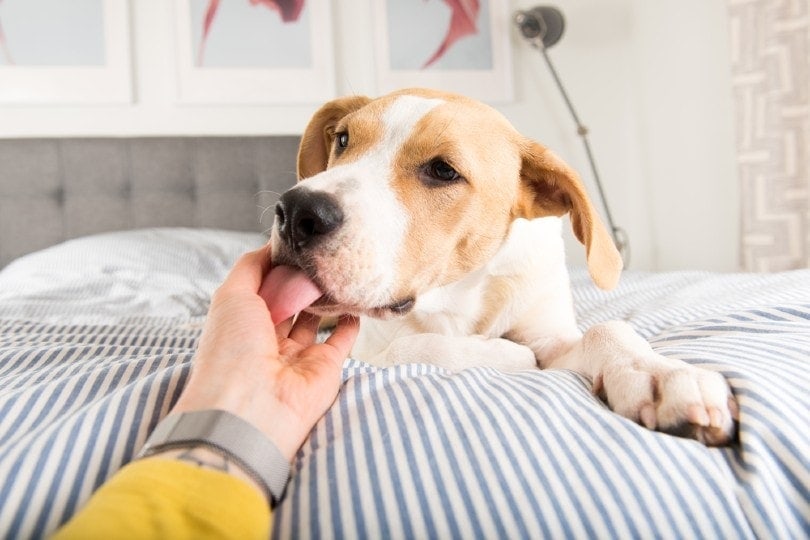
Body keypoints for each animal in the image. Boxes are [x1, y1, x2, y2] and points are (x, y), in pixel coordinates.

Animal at [266, 86, 740, 446]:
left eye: (443, 170)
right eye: (343, 140)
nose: (296, 212)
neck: (462, 293)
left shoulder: (551, 335)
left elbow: (606, 331)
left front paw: (659, 373)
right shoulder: (368, 344)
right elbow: (413, 346)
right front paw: (504, 354)